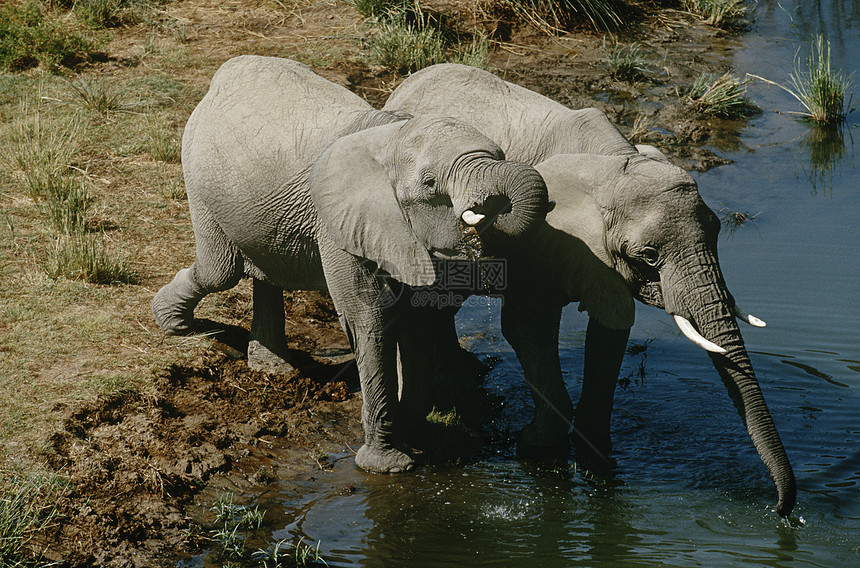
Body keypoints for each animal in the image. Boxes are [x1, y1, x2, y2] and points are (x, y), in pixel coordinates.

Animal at [151, 56, 548, 474]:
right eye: (430, 183)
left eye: (500, 156)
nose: (488, 212)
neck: (392, 137)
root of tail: (226, 72)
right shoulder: (337, 223)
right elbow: (369, 315)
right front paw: (388, 465)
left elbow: (418, 317)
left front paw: (418, 432)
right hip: (197, 176)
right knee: (221, 270)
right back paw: (172, 322)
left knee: (263, 270)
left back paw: (273, 369)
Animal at [386, 63, 796, 520]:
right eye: (649, 255)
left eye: (719, 233)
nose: (781, 510)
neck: (614, 164)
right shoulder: (539, 241)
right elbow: (527, 327)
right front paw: (539, 451)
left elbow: (610, 331)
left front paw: (597, 455)